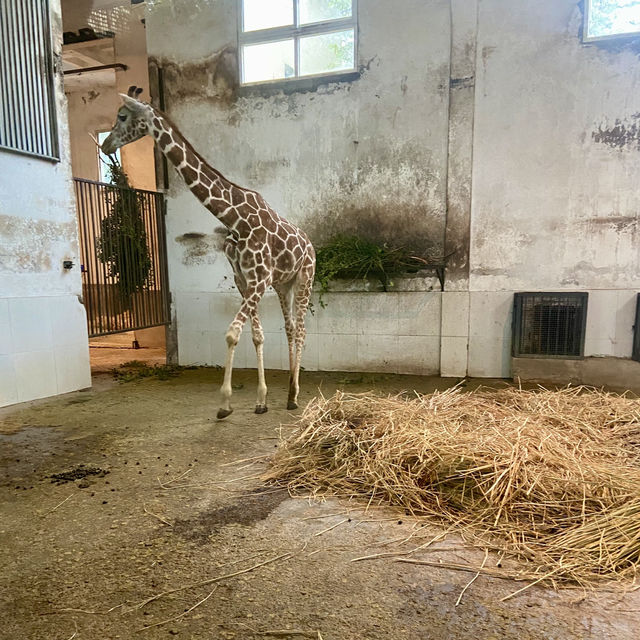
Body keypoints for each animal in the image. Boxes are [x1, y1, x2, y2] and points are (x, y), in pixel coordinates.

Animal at [99, 87, 316, 418]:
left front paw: (225, 402)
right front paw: (261, 400)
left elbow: (232, 333)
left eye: (122, 116)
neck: (234, 219)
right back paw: (290, 392)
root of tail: (310, 244)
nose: (105, 144)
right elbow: (256, 335)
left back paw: (296, 395)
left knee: (302, 329)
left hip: (305, 278)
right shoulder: (246, 281)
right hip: (283, 284)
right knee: (291, 328)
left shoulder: (259, 280)